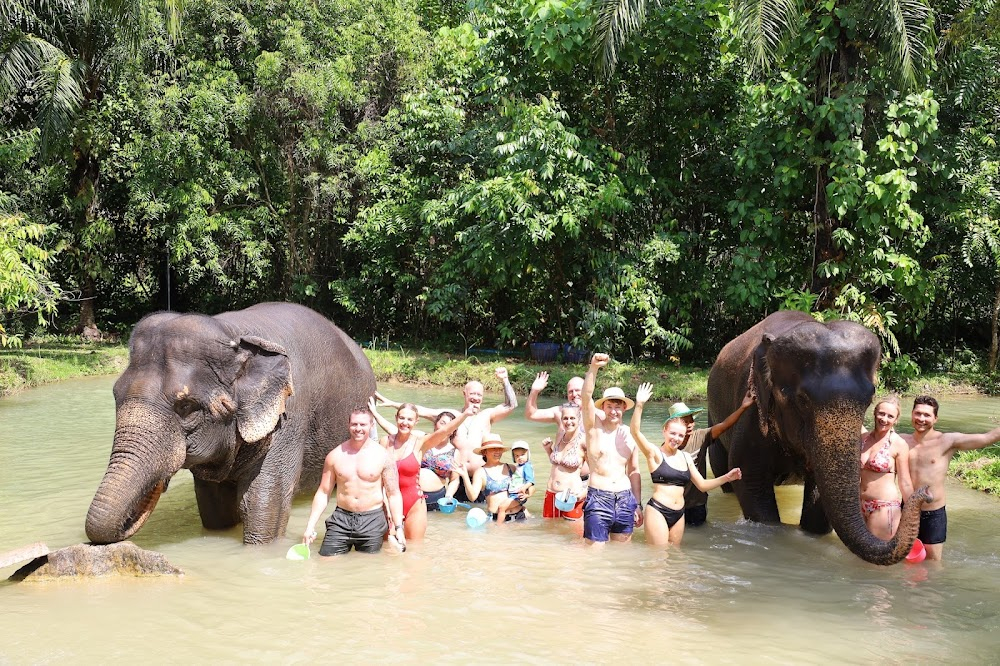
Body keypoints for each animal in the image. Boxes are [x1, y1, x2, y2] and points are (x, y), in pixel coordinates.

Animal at [85, 300, 376, 544]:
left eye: (186, 407)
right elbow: (215, 509)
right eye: (115, 395)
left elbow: (262, 503)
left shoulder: (289, 419)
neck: (232, 334)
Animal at [704, 308, 928, 564]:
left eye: (870, 398)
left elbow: (818, 501)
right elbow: (750, 481)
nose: (924, 494)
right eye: (802, 400)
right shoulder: (752, 412)